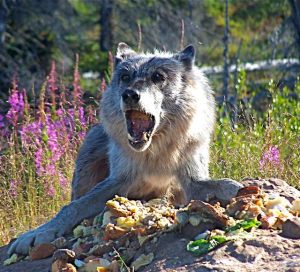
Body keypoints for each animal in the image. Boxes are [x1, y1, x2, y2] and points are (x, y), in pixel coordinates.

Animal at [7, 42, 241, 255]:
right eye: (125, 77)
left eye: (158, 77)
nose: (129, 94)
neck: (155, 153)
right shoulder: (118, 181)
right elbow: (73, 207)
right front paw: (38, 232)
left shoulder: (192, 181)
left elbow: (222, 184)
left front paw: (240, 189)